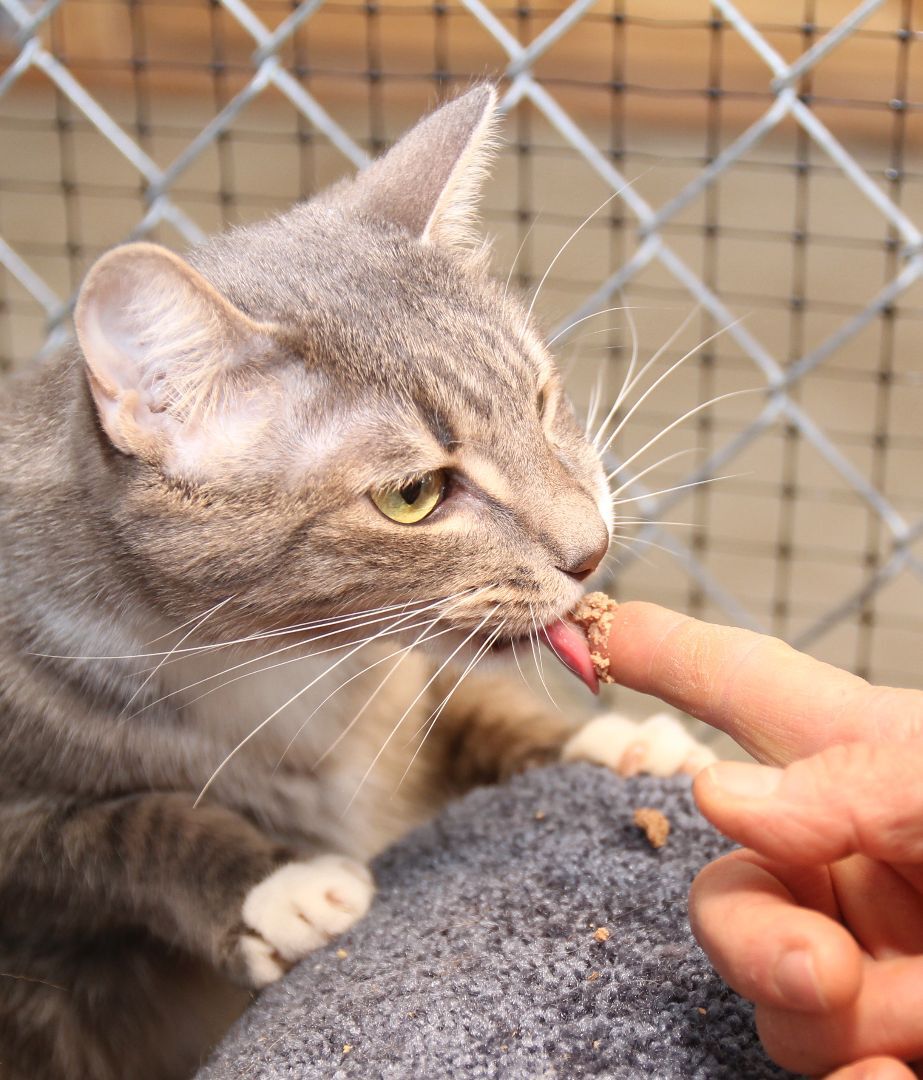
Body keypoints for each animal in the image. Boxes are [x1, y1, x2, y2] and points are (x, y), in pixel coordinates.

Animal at [0, 86, 716, 1080]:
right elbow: (106, 828)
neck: (295, 670)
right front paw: (274, 883)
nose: (590, 549)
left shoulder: (406, 686)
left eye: (540, 400)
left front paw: (615, 743)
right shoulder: (22, 836)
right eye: (412, 496)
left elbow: (476, 710)